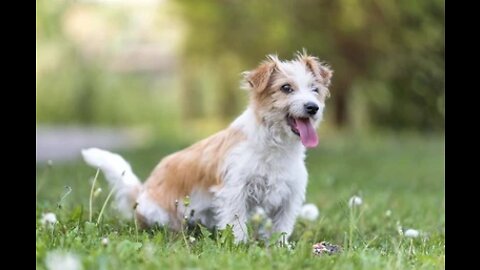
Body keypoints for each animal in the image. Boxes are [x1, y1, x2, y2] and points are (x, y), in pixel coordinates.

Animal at [80, 51, 332, 243]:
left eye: (315, 89)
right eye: (286, 88)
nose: (312, 107)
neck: (275, 144)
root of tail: (140, 194)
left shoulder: (289, 196)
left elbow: (281, 228)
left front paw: (279, 247)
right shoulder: (235, 191)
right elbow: (236, 223)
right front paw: (239, 245)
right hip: (159, 213)